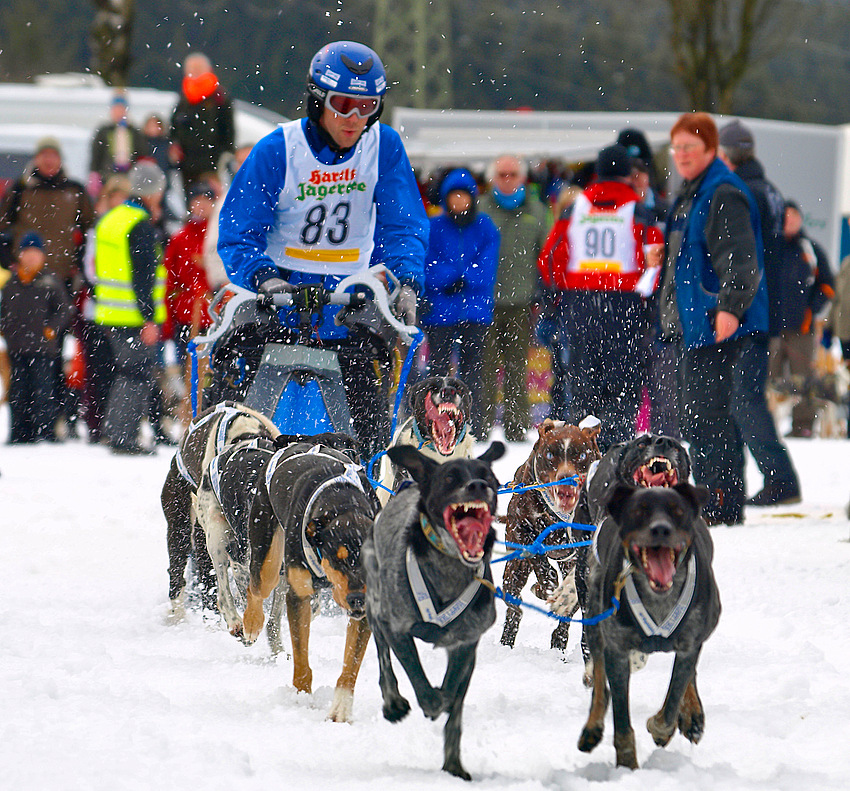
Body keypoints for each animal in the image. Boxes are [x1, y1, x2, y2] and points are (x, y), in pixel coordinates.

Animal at [496, 420, 604, 648]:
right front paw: (546, 584)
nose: (566, 479)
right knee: (514, 607)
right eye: (549, 455)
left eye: (582, 455)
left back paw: (560, 639)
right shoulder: (522, 529)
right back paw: (507, 640)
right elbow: (540, 562)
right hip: (515, 569)